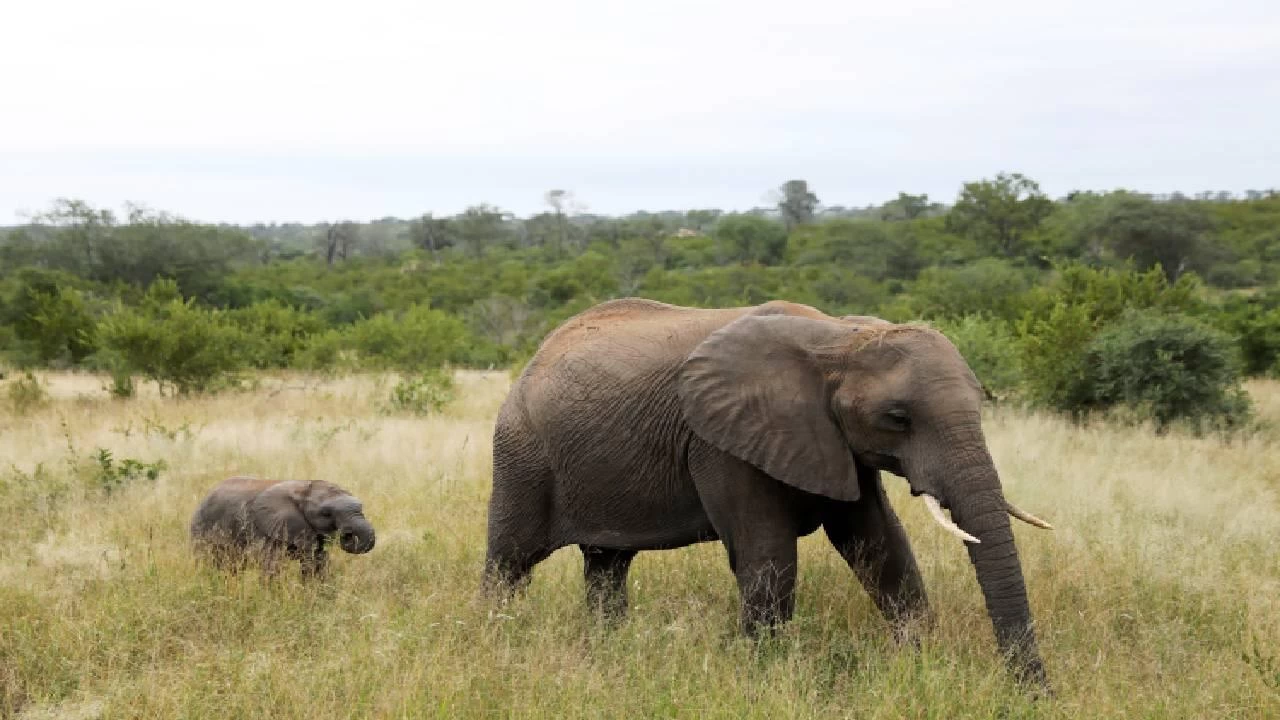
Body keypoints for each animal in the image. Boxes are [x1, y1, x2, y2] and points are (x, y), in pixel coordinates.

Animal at [186, 474, 373, 573]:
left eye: (361, 507)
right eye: (326, 513)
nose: (347, 534)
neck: (304, 488)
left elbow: (316, 564)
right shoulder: (265, 530)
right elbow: (271, 566)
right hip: (201, 529)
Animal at [483, 297, 1054, 681]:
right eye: (898, 418)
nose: (1032, 692)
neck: (839, 338)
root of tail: (536, 355)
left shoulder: (837, 445)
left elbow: (879, 546)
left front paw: (919, 667)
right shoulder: (722, 442)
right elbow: (768, 559)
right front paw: (764, 680)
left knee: (607, 565)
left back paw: (610, 650)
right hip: (521, 452)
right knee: (510, 562)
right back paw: (494, 639)